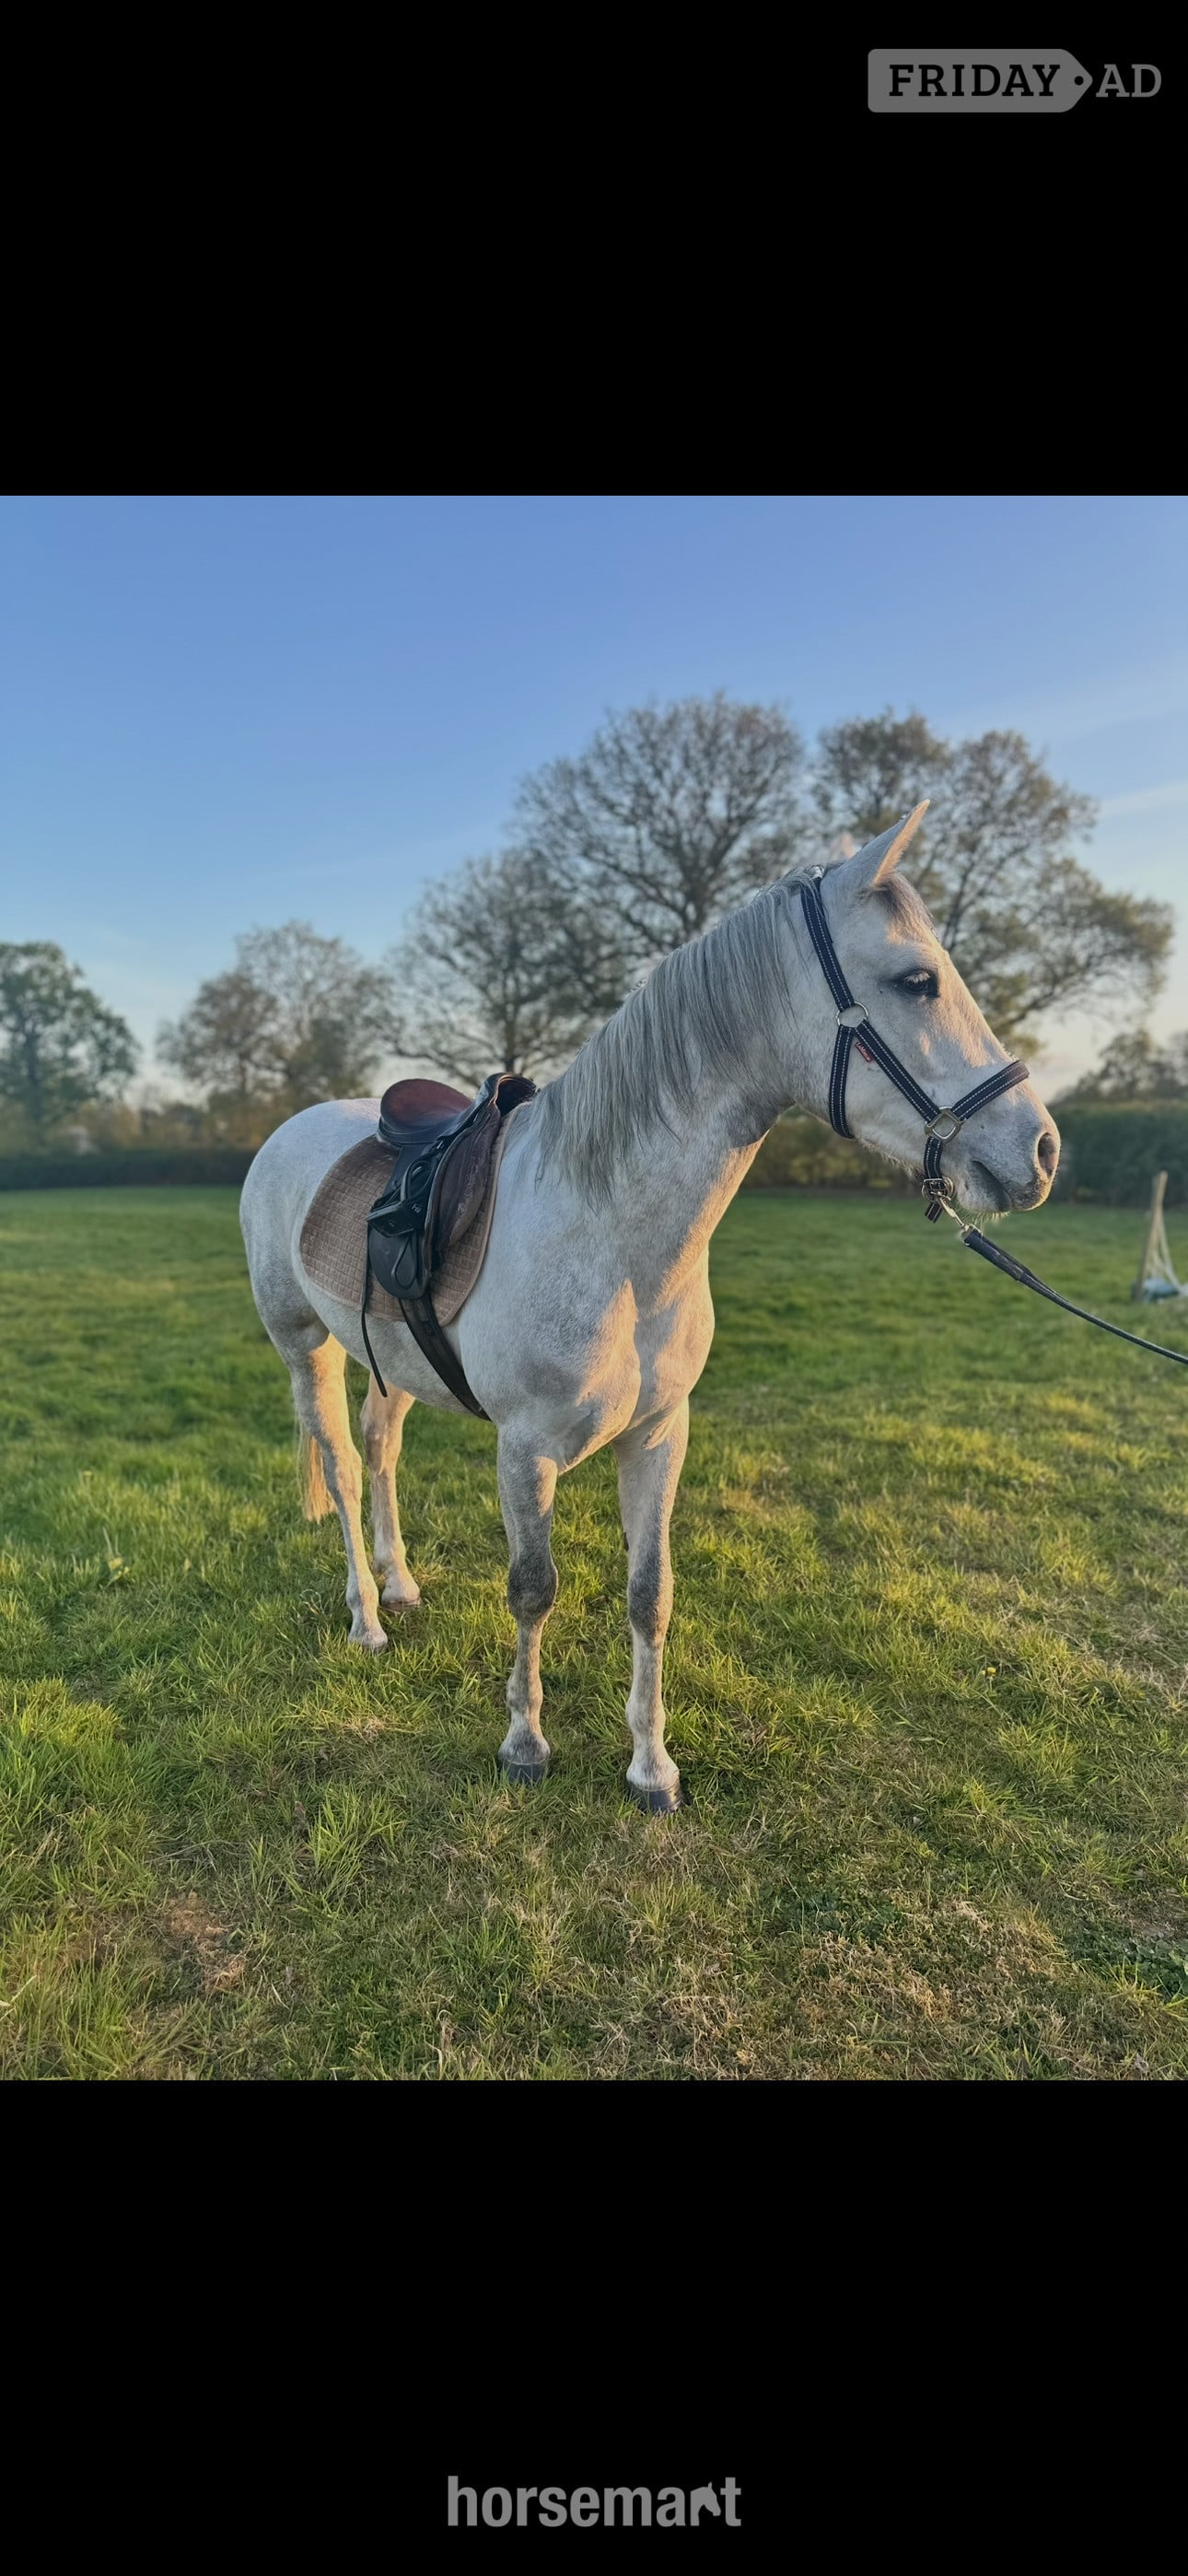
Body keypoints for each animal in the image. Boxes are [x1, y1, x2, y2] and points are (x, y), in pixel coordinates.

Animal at [239, 804, 1059, 1811]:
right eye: (918, 980)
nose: (1040, 1152)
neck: (615, 1238)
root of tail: (294, 1127)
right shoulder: (525, 1452)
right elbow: (533, 1587)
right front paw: (525, 1745)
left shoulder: (661, 1434)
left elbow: (649, 1594)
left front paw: (651, 1765)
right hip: (302, 1344)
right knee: (345, 1468)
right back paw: (366, 1618)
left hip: (386, 1357)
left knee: (383, 1450)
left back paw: (398, 1586)